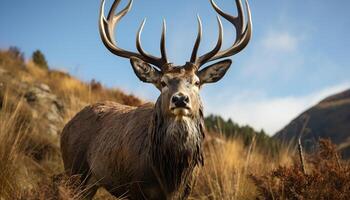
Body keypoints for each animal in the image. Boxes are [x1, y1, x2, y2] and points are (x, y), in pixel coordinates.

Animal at [60, 0, 252, 198]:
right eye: (163, 82)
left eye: (197, 82)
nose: (180, 99)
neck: (171, 178)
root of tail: (67, 125)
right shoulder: (134, 187)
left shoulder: (187, 191)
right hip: (74, 169)